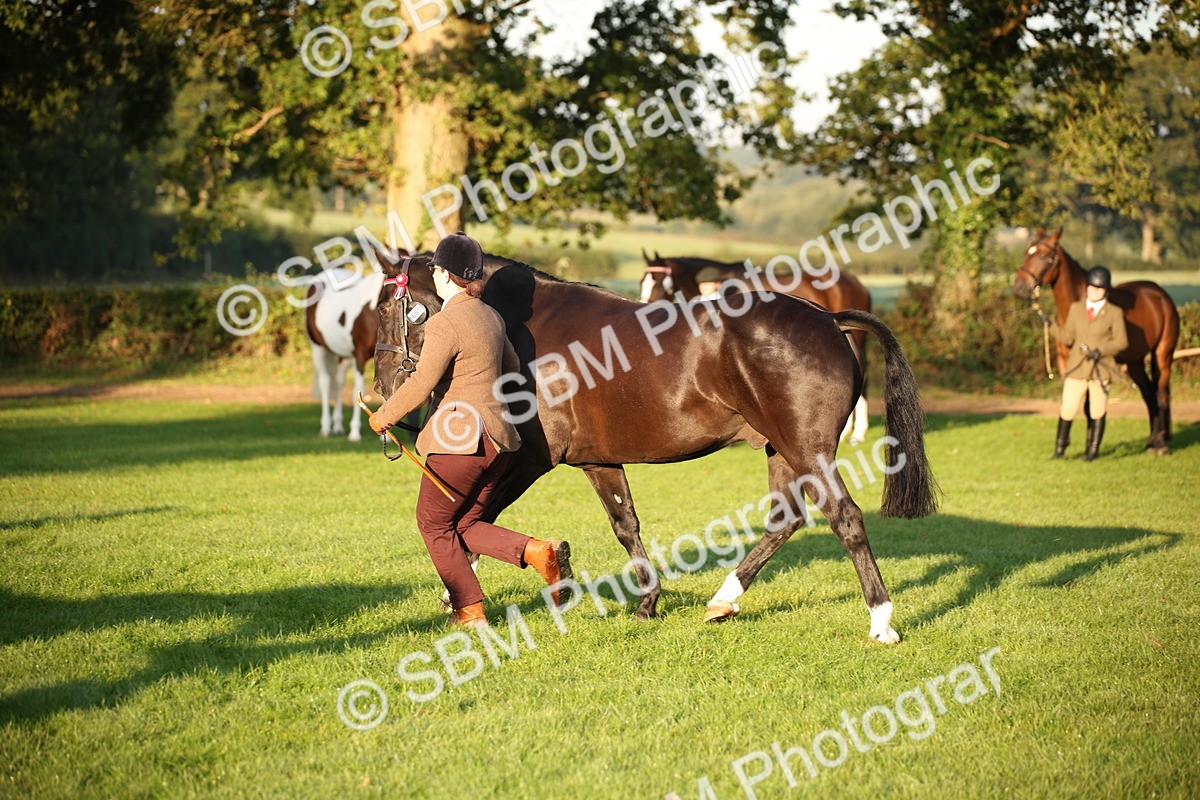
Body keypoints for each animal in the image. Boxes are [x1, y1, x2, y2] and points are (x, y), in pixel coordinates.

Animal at [305, 268, 387, 442]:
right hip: (318, 348)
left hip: (344, 355)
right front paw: (355, 432)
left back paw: (337, 426)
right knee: (326, 382)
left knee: (339, 382)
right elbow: (359, 389)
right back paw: (326, 428)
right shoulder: (360, 357)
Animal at [1011, 228, 1179, 454]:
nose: (1019, 289)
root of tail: (1160, 295)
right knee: (1149, 395)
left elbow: (1090, 405)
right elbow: (1073, 401)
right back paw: (1152, 442)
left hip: (1162, 355)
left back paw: (1160, 444)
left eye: (1044, 257)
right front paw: (1071, 444)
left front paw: (1090, 447)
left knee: (1161, 394)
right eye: (1025, 254)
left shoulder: (1092, 362)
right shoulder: (1067, 363)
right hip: (1135, 362)